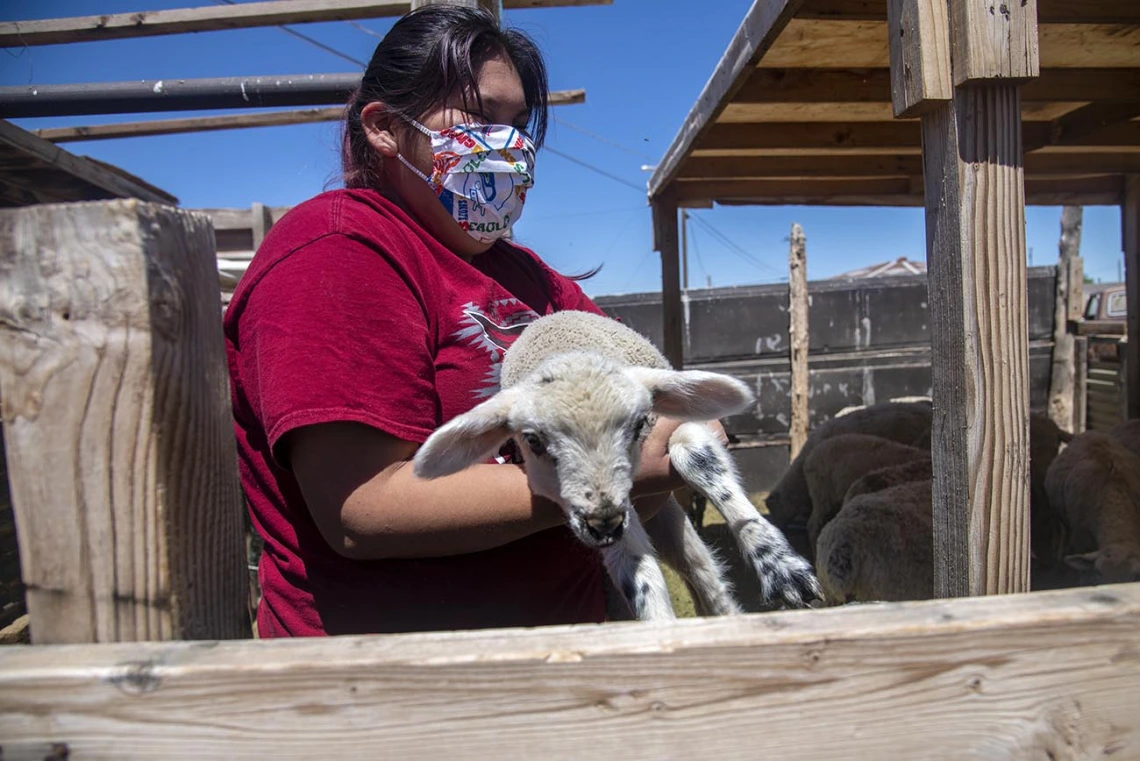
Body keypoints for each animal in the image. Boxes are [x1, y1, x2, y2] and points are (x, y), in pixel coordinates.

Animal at [410, 312, 820, 619]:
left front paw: (782, 568)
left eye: (638, 425)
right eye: (532, 440)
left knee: (707, 581)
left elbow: (699, 461)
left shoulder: (676, 429)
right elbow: (635, 570)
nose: (604, 523)